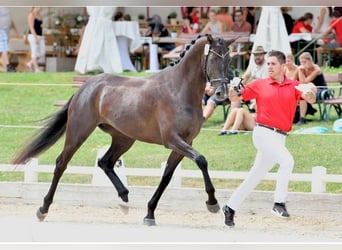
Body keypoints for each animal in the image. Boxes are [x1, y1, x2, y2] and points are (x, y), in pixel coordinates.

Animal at [13, 34, 236, 226]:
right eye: (214, 59)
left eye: (229, 60)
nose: (221, 94)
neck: (179, 89)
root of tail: (85, 87)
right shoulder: (172, 139)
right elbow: (201, 160)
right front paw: (212, 203)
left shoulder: (185, 142)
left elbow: (167, 175)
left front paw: (149, 213)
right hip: (79, 132)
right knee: (61, 164)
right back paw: (43, 209)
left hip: (124, 139)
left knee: (105, 162)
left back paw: (124, 199)